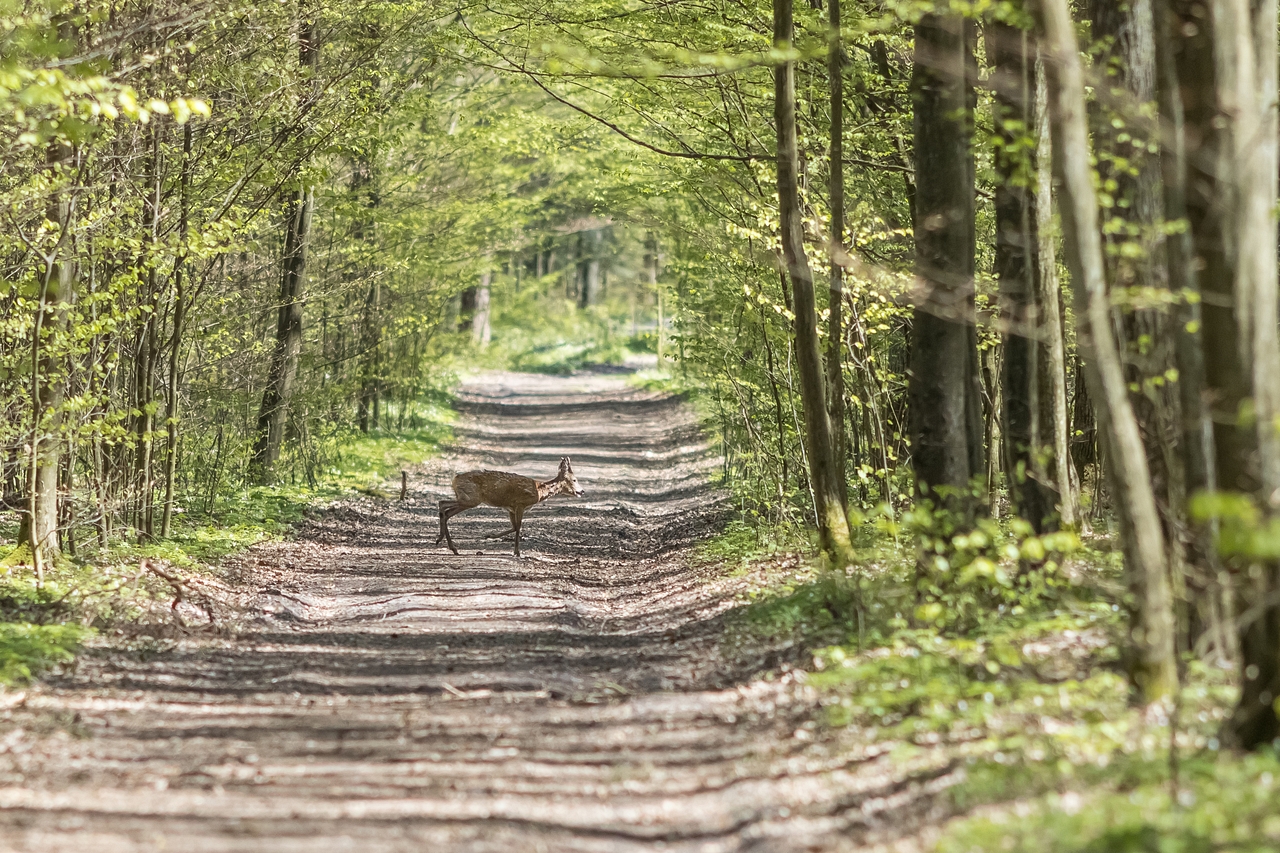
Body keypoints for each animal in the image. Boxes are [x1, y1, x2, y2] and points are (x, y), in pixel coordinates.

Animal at [435, 455, 586, 555]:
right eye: (574, 480)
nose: (582, 491)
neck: (539, 491)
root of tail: (454, 480)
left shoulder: (510, 508)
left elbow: (514, 527)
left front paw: (490, 535)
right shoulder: (520, 504)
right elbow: (518, 527)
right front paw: (517, 552)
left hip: (466, 498)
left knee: (444, 507)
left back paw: (446, 543)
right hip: (471, 499)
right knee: (444, 507)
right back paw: (448, 545)